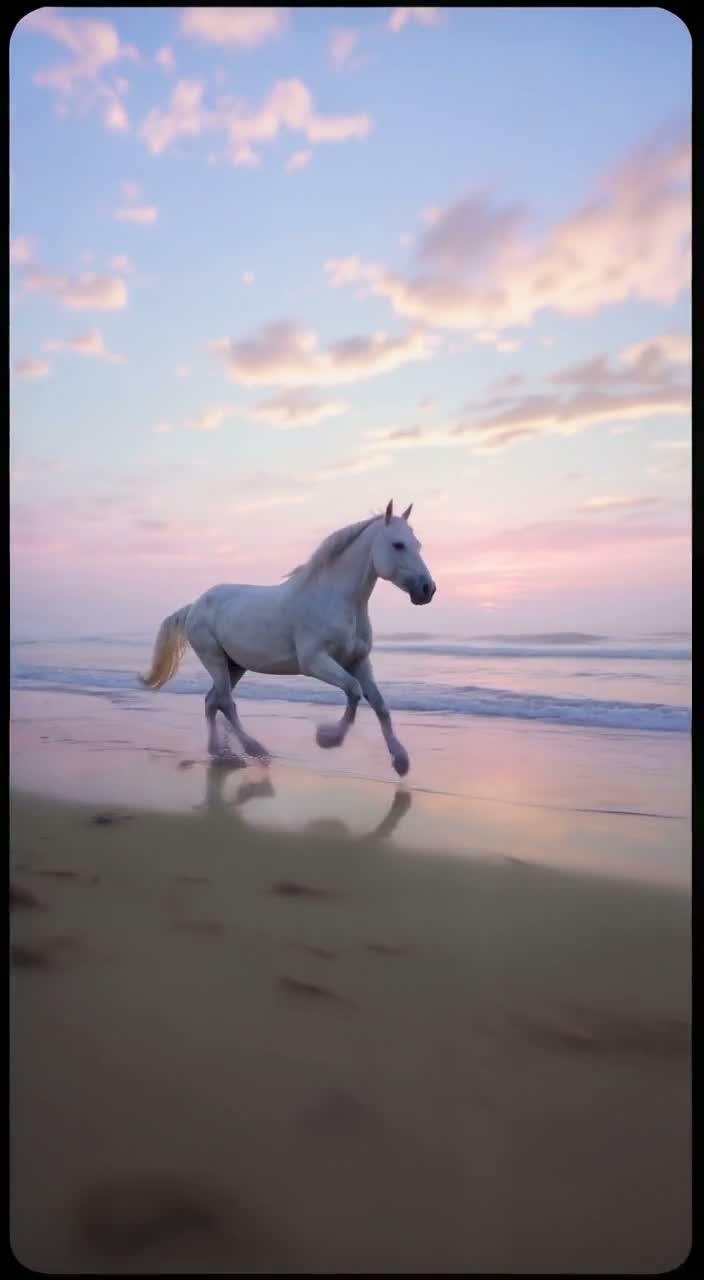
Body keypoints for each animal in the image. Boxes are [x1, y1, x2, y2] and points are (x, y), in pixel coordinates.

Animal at [139, 499, 436, 776]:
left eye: (418, 545)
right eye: (398, 545)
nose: (427, 589)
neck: (333, 599)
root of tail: (194, 606)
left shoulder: (358, 661)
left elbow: (380, 704)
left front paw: (401, 761)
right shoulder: (315, 662)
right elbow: (353, 690)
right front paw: (328, 738)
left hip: (235, 666)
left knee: (212, 702)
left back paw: (222, 753)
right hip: (215, 660)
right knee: (225, 702)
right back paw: (255, 750)